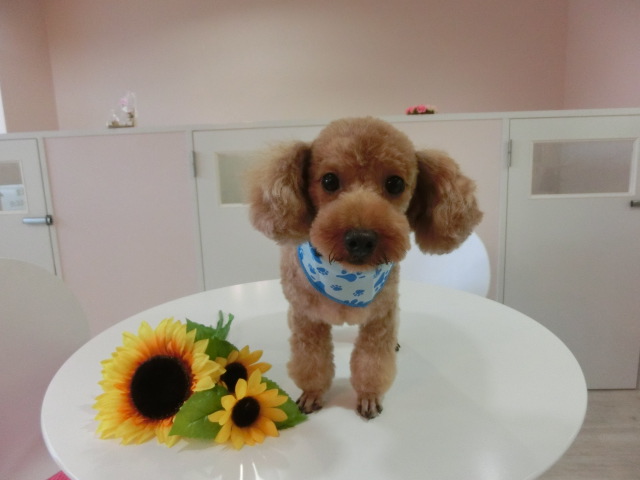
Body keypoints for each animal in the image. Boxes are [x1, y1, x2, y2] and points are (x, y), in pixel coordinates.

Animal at [246, 117, 482, 419]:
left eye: (395, 183)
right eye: (329, 180)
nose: (360, 239)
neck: (346, 277)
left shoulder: (379, 319)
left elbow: (373, 362)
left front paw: (369, 396)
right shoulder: (307, 319)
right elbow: (311, 360)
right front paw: (312, 393)